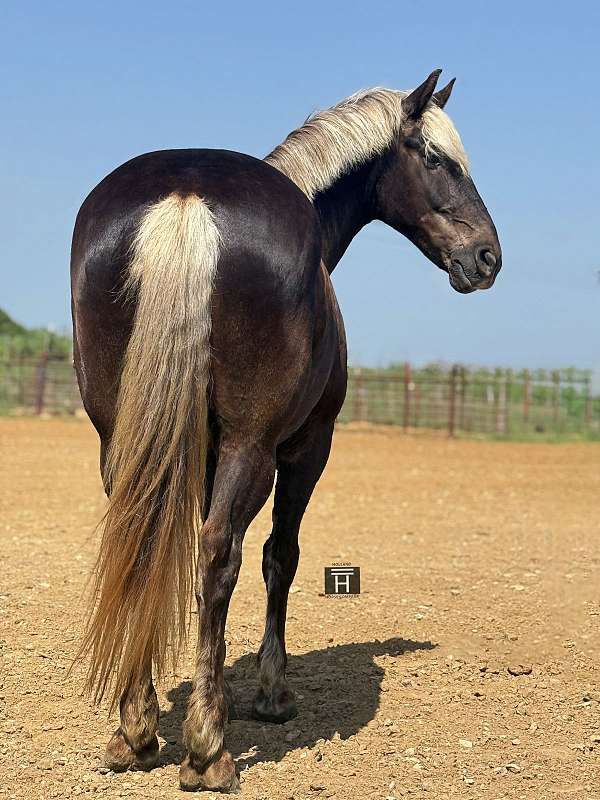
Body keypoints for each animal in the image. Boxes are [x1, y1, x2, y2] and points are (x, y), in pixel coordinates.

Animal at [70, 68, 501, 793]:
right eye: (438, 160)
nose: (487, 256)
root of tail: (187, 199)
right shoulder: (306, 450)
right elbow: (281, 556)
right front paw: (271, 693)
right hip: (256, 449)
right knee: (221, 553)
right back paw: (207, 751)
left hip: (122, 441)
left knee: (141, 544)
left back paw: (135, 730)